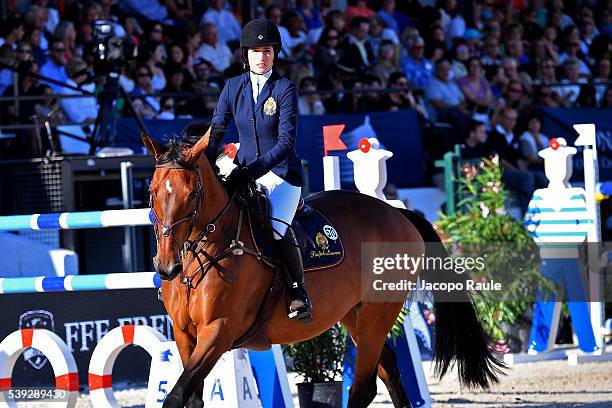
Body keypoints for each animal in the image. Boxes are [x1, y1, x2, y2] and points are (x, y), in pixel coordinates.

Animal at [142, 128, 502, 408]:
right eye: (152, 190)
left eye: (193, 193)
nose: (166, 266)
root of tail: (397, 214)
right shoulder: (185, 335)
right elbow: (190, 397)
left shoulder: (218, 331)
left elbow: (176, 396)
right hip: (356, 315)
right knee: (389, 370)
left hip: (378, 311)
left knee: (364, 388)